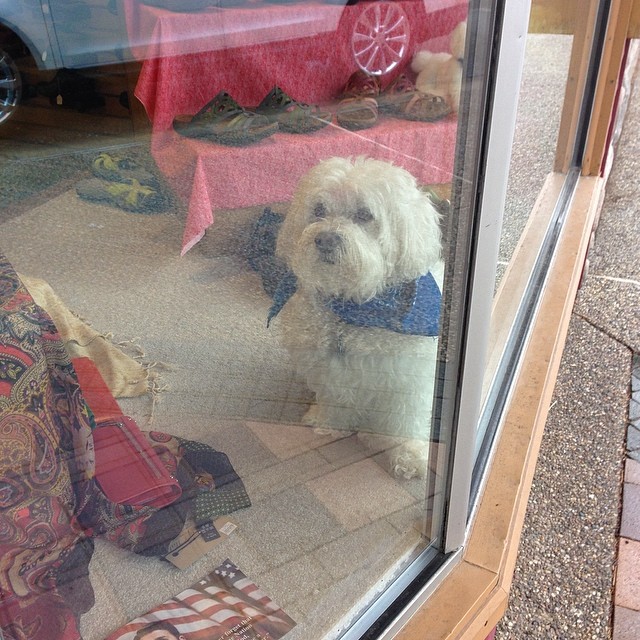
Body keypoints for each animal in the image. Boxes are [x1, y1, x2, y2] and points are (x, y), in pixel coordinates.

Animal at [272, 158, 444, 478]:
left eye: (365, 214)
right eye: (318, 209)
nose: (325, 239)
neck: (354, 309)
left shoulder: (409, 382)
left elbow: (407, 421)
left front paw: (409, 456)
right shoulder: (328, 369)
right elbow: (335, 400)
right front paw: (329, 424)